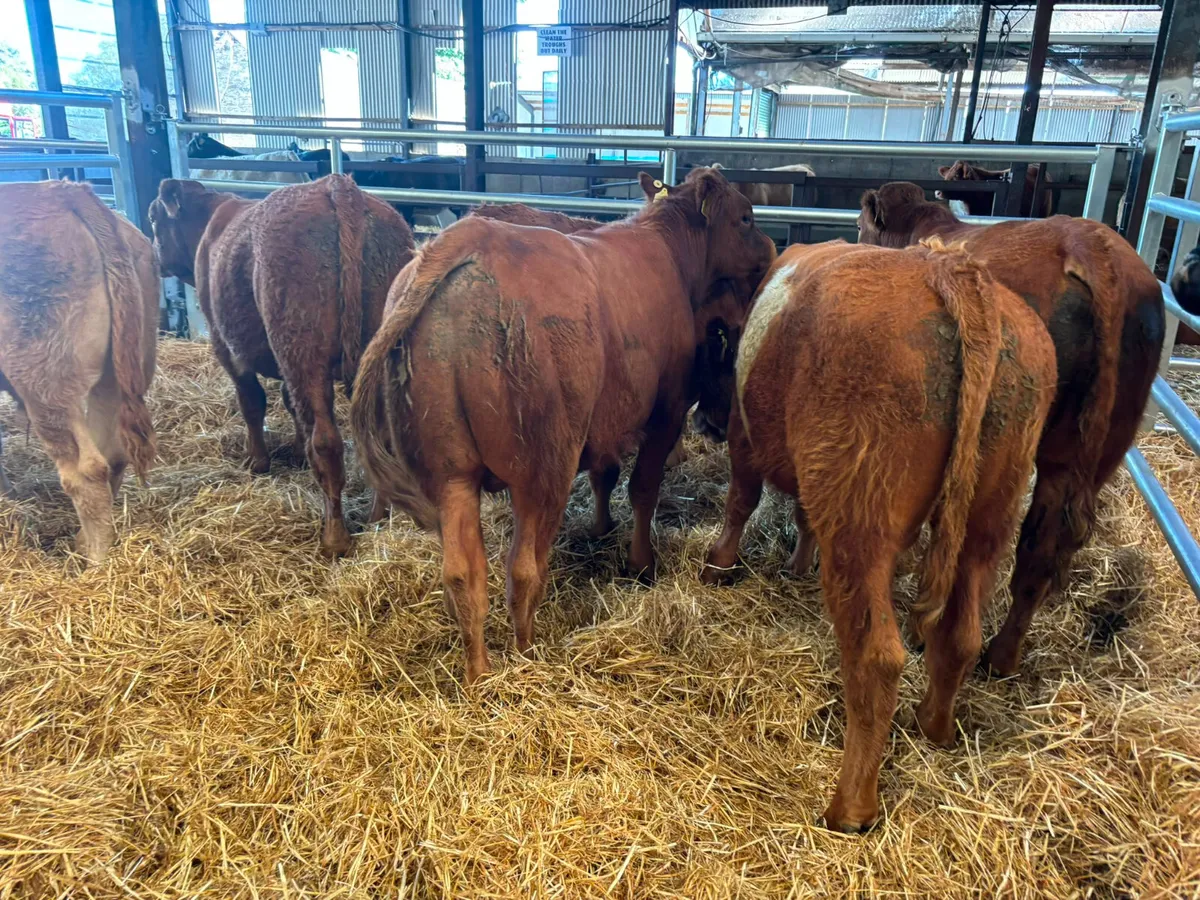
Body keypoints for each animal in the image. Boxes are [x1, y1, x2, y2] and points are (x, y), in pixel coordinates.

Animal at [0, 180, 158, 563]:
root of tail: (66, 192)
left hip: (45, 382)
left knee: (86, 470)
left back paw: (94, 563)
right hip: (119, 374)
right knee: (113, 453)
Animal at [148, 175, 415, 556]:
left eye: (154, 218)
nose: (154, 257)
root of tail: (338, 186)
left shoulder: (226, 344)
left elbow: (251, 403)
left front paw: (257, 462)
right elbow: (289, 404)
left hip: (303, 353)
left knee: (326, 443)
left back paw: (334, 538)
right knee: (377, 438)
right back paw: (379, 518)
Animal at [350, 167, 776, 684]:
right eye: (746, 217)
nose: (771, 248)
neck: (672, 256)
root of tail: (471, 238)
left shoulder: (605, 417)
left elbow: (605, 474)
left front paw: (601, 527)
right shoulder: (666, 410)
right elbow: (643, 488)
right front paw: (641, 563)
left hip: (451, 474)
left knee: (463, 574)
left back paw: (480, 674)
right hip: (542, 468)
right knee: (523, 569)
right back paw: (526, 654)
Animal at [701, 239, 1056, 832]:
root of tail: (948, 268)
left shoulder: (742, 434)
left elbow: (740, 500)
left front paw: (719, 565)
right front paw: (797, 563)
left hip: (861, 520)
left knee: (876, 657)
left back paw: (850, 806)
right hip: (992, 513)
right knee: (961, 633)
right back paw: (934, 725)